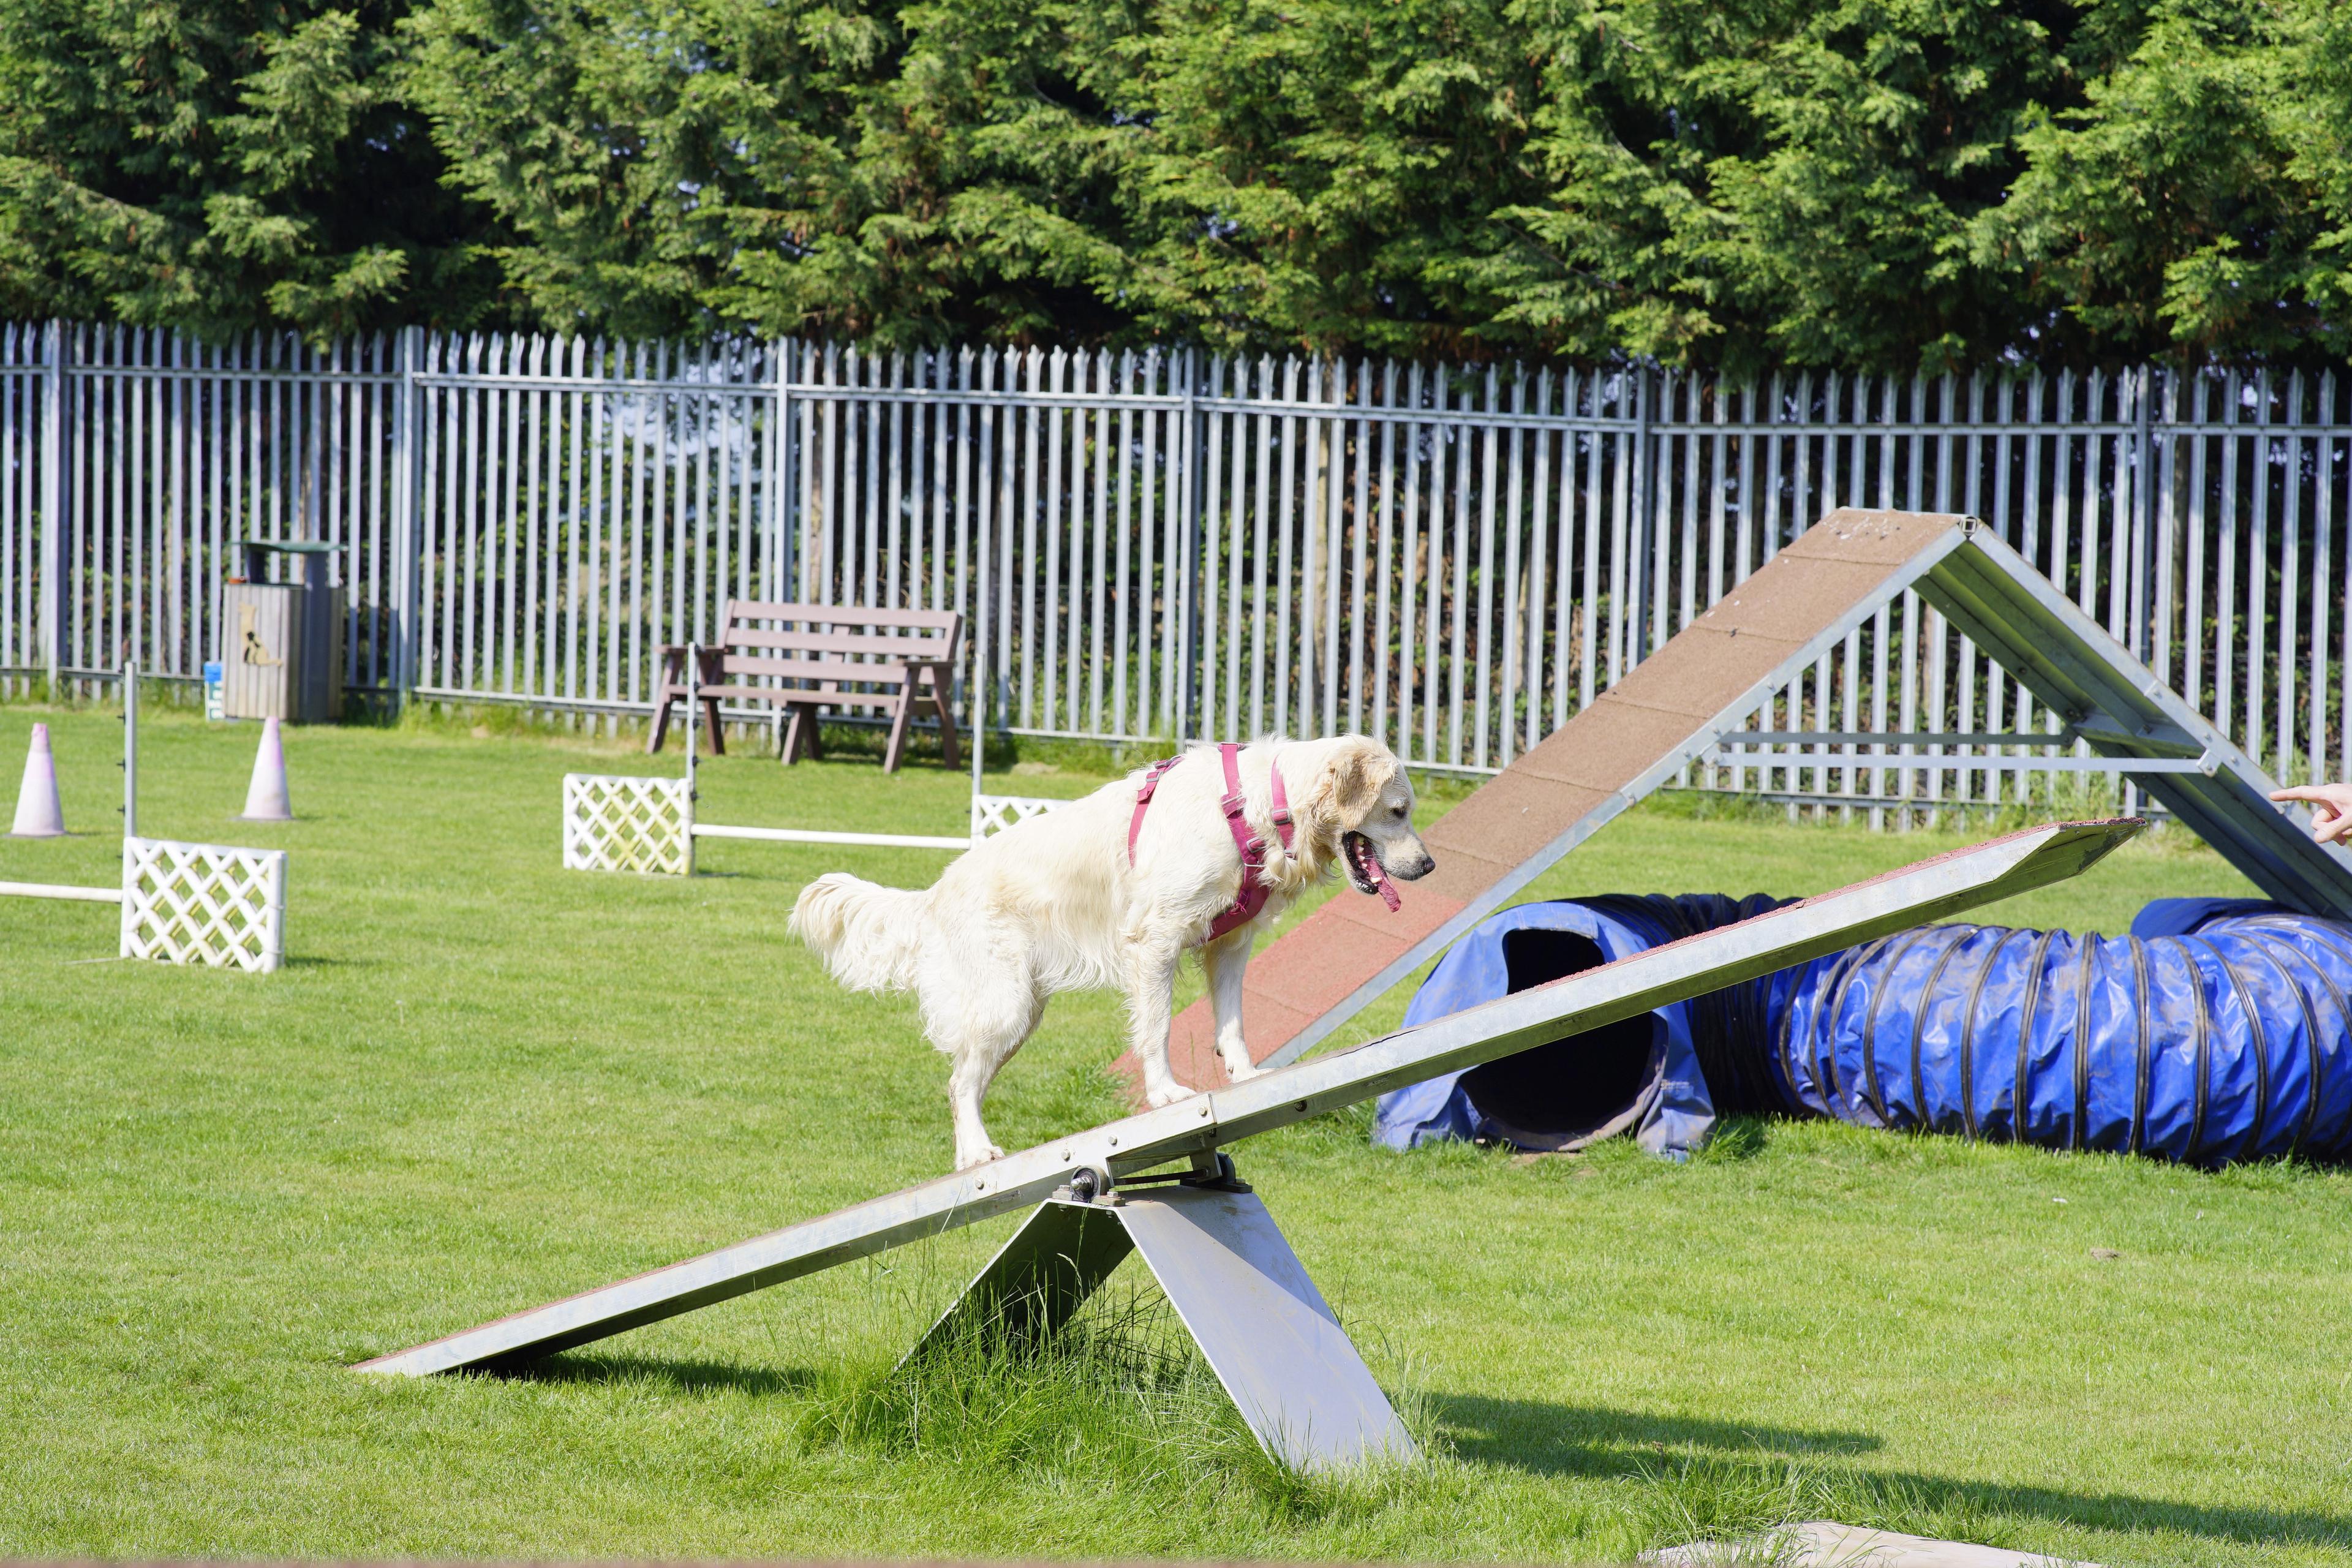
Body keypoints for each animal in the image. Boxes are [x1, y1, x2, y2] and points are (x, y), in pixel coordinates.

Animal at [794, 738, 1430, 1166]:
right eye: (1398, 811)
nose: (1427, 866)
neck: (1253, 809)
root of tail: (934, 893)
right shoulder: (1156, 941)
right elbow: (1157, 1029)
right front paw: (1166, 1092)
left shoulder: (1229, 945)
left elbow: (1232, 1023)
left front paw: (1246, 1075)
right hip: (1003, 1004)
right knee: (959, 1085)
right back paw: (977, 1153)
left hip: (1022, 1014)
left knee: (965, 1079)